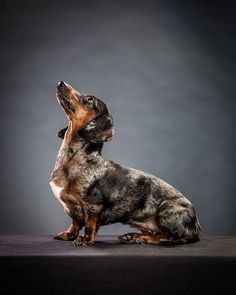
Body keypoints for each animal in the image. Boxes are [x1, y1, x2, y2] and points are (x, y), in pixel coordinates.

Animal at [50, 82, 201, 246]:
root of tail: (197, 226)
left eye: (89, 99)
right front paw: (69, 234)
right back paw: (134, 236)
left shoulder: (93, 205)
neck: (76, 159)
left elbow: (89, 225)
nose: (61, 83)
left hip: (165, 211)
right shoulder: (74, 211)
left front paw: (85, 239)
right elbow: (75, 223)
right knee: (158, 233)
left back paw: (141, 238)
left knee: (168, 236)